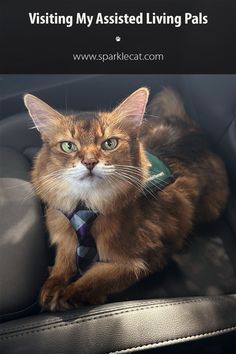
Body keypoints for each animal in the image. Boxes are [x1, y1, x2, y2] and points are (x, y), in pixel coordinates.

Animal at [24, 87, 229, 312]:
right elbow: (64, 259)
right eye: (68, 146)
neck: (87, 208)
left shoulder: (147, 258)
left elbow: (99, 275)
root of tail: (189, 128)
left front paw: (71, 293)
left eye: (109, 143)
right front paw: (53, 285)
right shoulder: (65, 234)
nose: (89, 162)